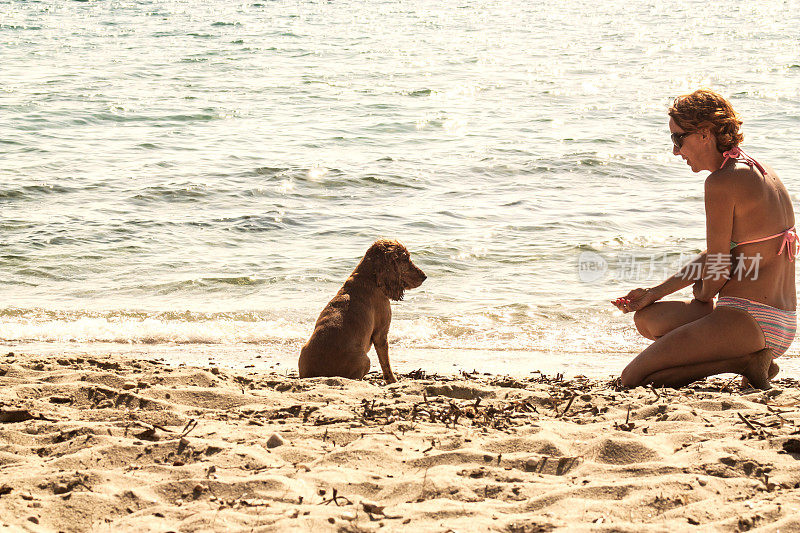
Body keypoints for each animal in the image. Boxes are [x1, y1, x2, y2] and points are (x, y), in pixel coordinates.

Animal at [298, 240, 424, 382]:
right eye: (405, 258)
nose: (424, 276)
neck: (369, 277)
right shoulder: (381, 334)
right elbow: (386, 363)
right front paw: (393, 381)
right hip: (365, 359)